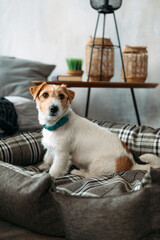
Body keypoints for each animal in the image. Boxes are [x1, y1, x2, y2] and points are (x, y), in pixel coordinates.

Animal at [29, 82, 160, 178]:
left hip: (96, 165)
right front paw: (43, 166)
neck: (59, 123)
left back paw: (78, 172)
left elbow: (55, 169)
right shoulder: (51, 148)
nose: (53, 108)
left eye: (61, 96)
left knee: (91, 175)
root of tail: (131, 164)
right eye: (45, 95)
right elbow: (48, 158)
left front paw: (50, 176)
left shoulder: (62, 154)